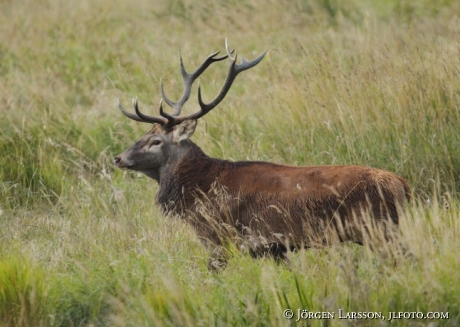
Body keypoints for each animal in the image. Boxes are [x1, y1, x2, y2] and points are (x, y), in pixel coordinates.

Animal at [114, 41, 410, 272]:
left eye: (155, 141)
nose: (118, 158)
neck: (199, 189)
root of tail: (402, 185)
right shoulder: (274, 249)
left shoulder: (220, 237)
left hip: (380, 230)